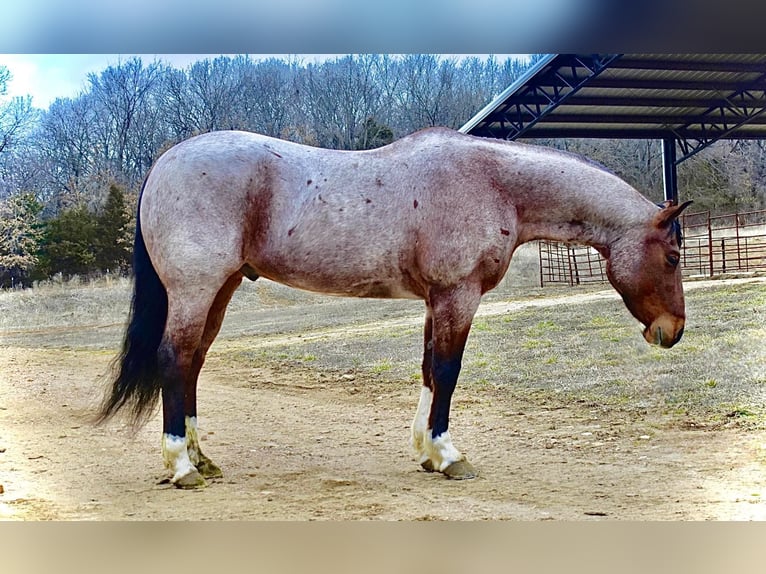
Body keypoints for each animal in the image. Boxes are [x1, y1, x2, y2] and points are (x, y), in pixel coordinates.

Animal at [97, 129, 696, 490]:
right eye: (672, 256)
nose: (672, 332)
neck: (492, 182)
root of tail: (165, 161)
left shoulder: (437, 300)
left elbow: (430, 370)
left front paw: (427, 452)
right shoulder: (458, 294)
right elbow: (449, 372)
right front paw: (449, 456)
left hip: (219, 291)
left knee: (193, 363)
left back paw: (201, 459)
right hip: (196, 290)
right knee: (175, 359)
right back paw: (181, 466)